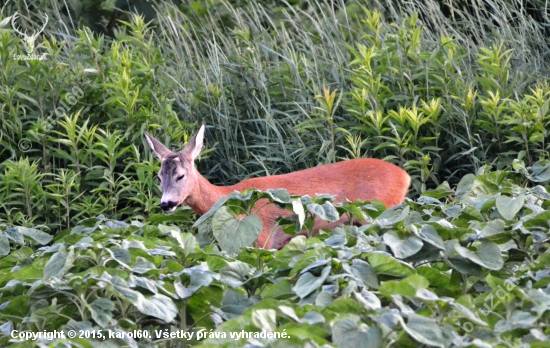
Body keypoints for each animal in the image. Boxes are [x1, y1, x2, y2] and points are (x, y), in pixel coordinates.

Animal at [144, 123, 412, 249]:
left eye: (180, 175)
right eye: (158, 176)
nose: (166, 204)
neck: (226, 195)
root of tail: (405, 176)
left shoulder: (261, 239)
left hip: (379, 213)